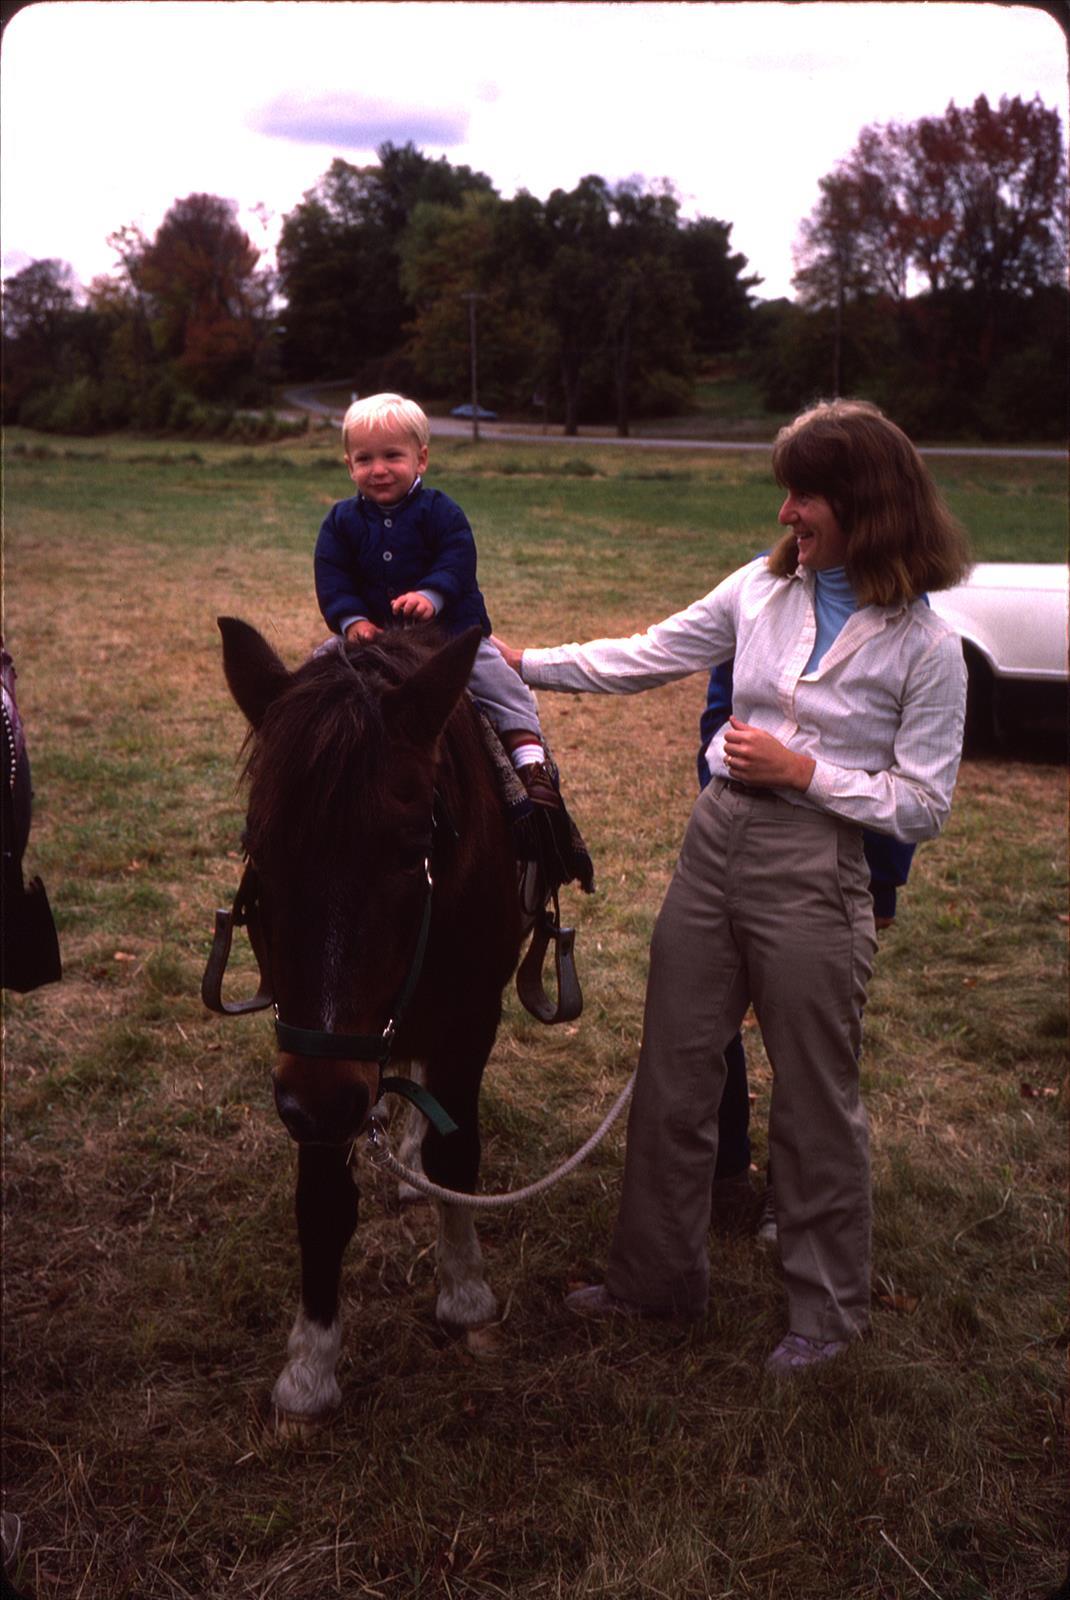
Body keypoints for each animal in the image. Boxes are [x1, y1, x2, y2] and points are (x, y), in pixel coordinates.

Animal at [217, 617, 521, 1420]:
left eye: (413, 850)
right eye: (259, 847)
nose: (324, 1104)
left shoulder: (469, 1022)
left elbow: (457, 1151)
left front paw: (464, 1293)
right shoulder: (314, 1064)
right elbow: (323, 1201)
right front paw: (311, 1365)